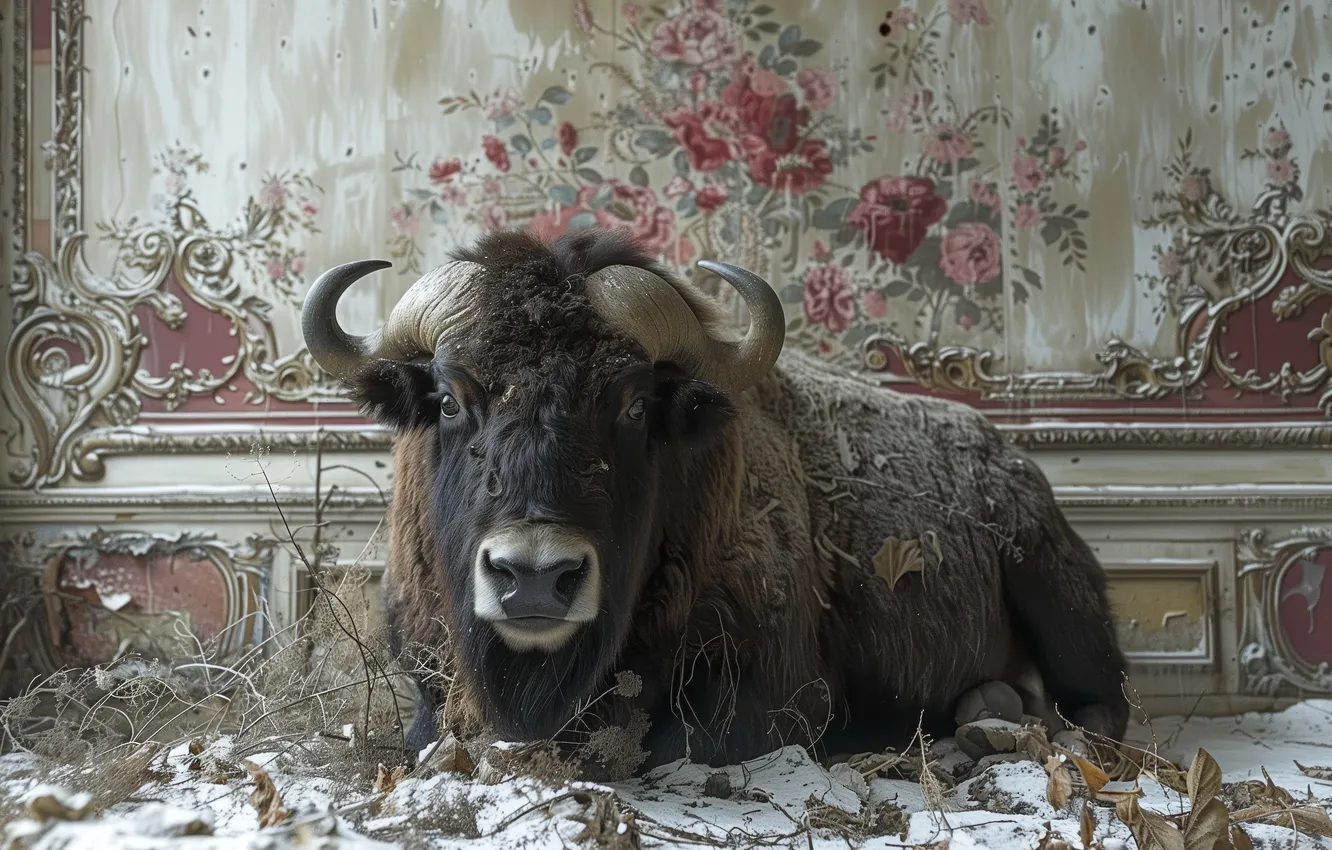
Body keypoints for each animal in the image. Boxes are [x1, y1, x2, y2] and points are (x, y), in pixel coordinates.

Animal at [299, 229, 1124, 778]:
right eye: (448, 399)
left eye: (635, 405)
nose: (534, 577)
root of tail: (1012, 462)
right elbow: (428, 736)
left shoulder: (774, 692)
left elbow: (672, 744)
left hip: (1061, 601)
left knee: (1098, 701)